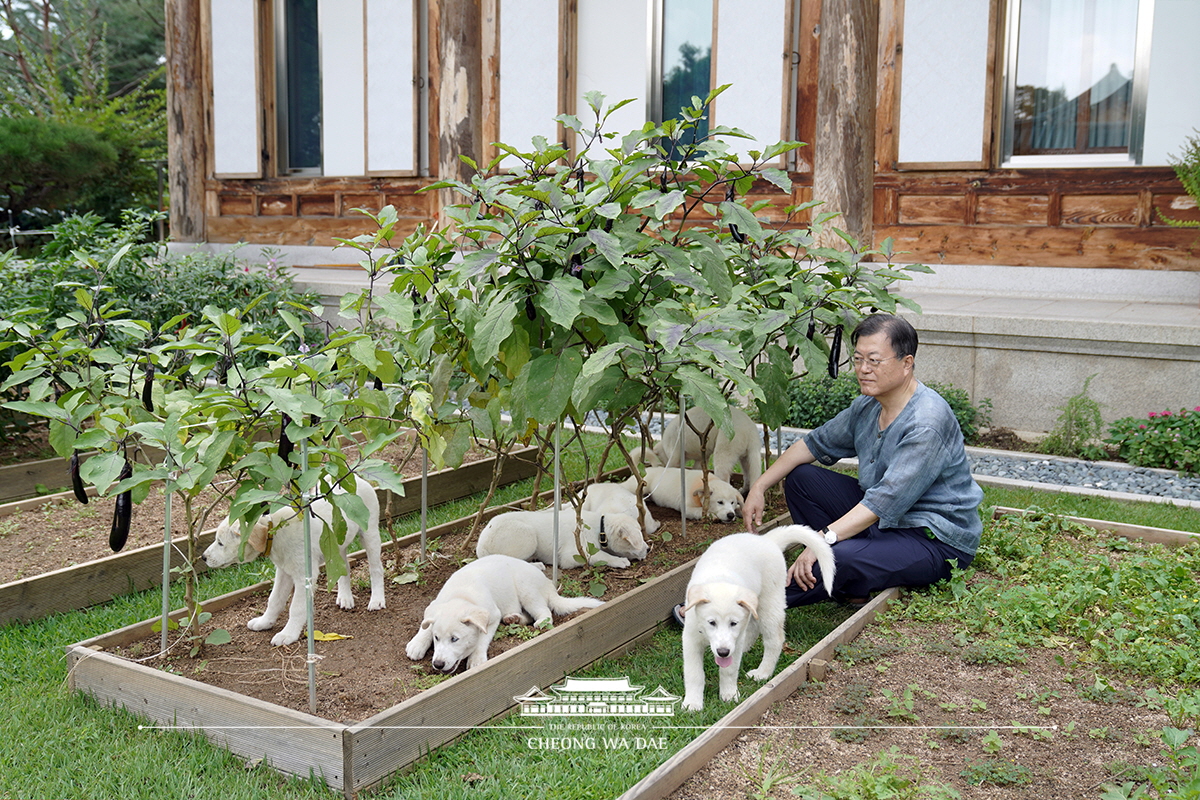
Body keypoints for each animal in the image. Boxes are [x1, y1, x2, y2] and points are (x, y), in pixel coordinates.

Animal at [202, 474, 384, 652]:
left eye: (220, 543)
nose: (203, 557)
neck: (274, 532)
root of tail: (355, 479)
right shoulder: (283, 571)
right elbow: (274, 599)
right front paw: (264, 622)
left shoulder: (304, 576)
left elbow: (295, 608)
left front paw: (288, 634)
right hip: (336, 545)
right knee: (343, 568)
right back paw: (345, 597)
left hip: (370, 534)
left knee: (376, 569)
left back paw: (377, 600)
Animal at [408, 556, 604, 676]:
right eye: (437, 638)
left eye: (455, 639)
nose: (438, 664)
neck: (461, 595)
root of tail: (548, 583)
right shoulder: (435, 605)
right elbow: (426, 624)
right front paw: (417, 644)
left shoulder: (492, 615)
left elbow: (482, 639)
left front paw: (476, 659)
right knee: (527, 615)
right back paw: (513, 618)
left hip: (527, 590)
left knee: (544, 611)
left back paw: (540, 621)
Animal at [475, 506, 648, 568]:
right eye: (638, 539)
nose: (648, 549)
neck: (600, 527)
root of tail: (481, 546)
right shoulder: (573, 555)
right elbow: (601, 556)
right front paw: (619, 561)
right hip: (528, 537)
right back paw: (537, 565)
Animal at [681, 525, 840, 714]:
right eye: (711, 623)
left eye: (733, 623)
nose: (723, 652)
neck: (720, 579)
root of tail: (767, 539)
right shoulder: (690, 639)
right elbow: (694, 674)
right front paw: (692, 703)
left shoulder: (735, 638)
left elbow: (729, 671)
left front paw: (729, 695)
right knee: (753, 628)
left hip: (770, 603)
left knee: (774, 640)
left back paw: (762, 673)